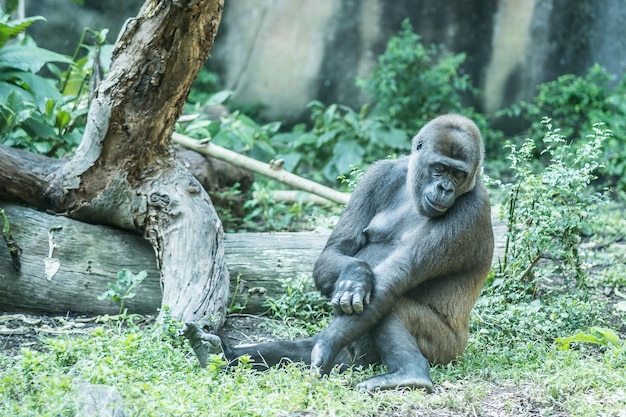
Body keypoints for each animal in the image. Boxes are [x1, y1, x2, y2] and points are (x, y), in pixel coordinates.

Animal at [185, 113, 492, 390]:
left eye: (458, 174)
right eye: (439, 168)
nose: (445, 188)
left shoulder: (470, 211)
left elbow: (394, 277)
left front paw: (327, 344)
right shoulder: (378, 174)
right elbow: (336, 250)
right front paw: (356, 276)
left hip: (447, 349)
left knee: (393, 304)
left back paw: (411, 375)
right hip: (351, 358)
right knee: (297, 349)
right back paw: (219, 354)